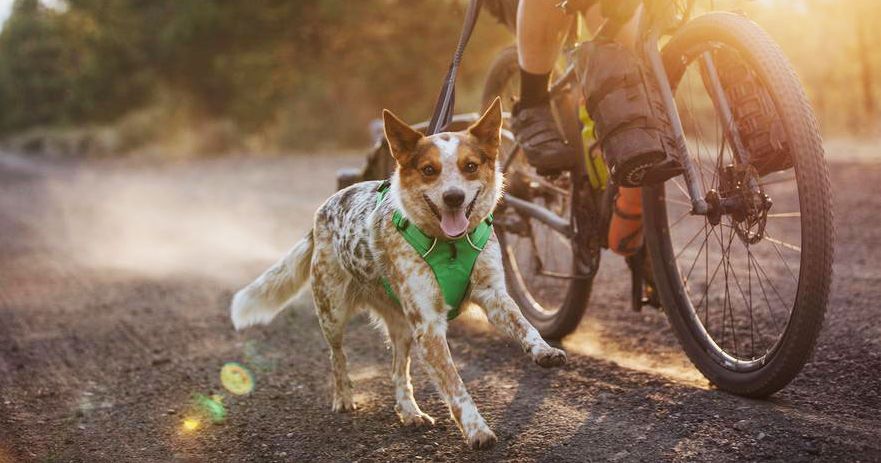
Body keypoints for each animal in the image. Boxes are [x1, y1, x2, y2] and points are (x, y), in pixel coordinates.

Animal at [230, 99, 568, 450]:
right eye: (429, 170)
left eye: (470, 166)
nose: (454, 197)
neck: (450, 244)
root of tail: (322, 210)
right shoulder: (429, 325)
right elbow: (455, 386)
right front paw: (476, 429)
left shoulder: (493, 296)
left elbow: (524, 324)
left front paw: (543, 350)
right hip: (333, 313)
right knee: (338, 357)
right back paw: (344, 396)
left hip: (403, 327)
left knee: (398, 372)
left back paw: (409, 411)